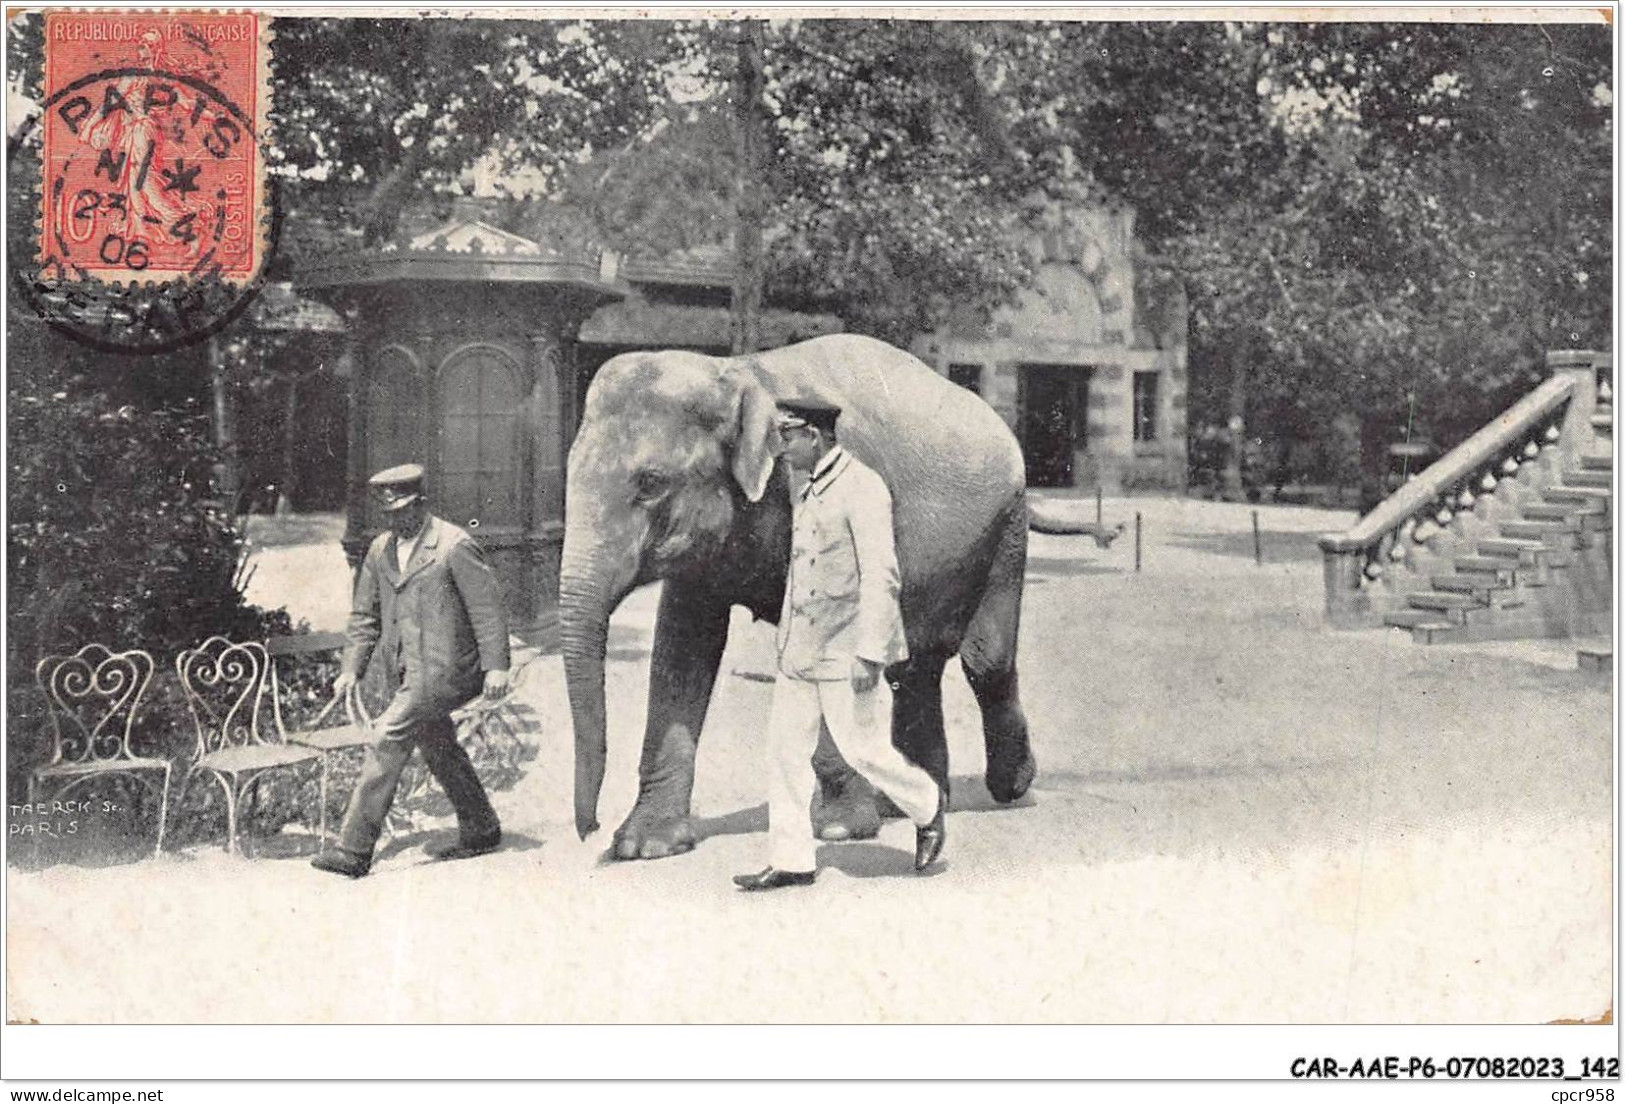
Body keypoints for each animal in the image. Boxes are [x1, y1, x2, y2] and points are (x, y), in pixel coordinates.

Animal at [565, 333, 1033, 858]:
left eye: (650, 484)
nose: (590, 830)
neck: (741, 372)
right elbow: (682, 646)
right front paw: (644, 846)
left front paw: (840, 830)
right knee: (916, 666)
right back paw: (915, 803)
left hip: (1006, 530)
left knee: (985, 660)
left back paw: (1010, 786)